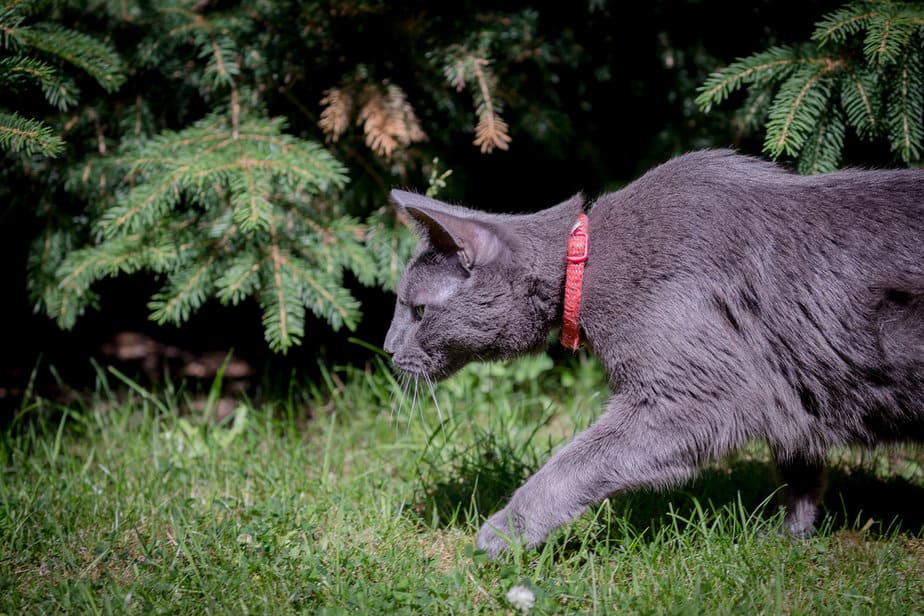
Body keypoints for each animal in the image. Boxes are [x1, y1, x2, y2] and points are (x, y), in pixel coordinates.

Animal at [382, 150, 924, 560]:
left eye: (417, 310)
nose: (386, 349)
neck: (584, 264)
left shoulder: (704, 394)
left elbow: (574, 462)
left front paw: (504, 532)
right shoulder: (788, 386)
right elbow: (800, 463)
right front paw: (790, 536)